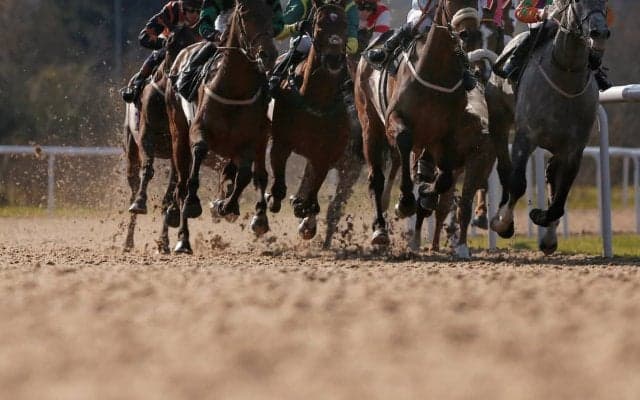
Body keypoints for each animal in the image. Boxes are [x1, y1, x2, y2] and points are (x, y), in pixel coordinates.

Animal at [123, 26, 202, 253]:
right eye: (172, 44)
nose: (180, 76)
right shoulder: (146, 134)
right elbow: (148, 169)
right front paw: (140, 203)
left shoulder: (178, 144)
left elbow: (171, 192)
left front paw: (167, 237)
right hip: (130, 144)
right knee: (133, 183)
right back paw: (128, 240)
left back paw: (164, 240)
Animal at [173, 0, 278, 254]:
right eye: (245, 15)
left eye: (272, 15)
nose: (268, 54)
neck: (233, 90)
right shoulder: (197, 131)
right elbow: (199, 155)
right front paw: (193, 203)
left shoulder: (250, 140)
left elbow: (245, 176)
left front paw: (226, 206)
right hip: (178, 134)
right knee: (180, 185)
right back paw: (183, 240)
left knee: (253, 174)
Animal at [267, 0, 352, 240]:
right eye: (320, 25)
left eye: (344, 25)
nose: (334, 59)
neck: (317, 101)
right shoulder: (281, 143)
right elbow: (277, 188)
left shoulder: (325, 154)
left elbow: (312, 196)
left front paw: (304, 214)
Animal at [356, 0, 482, 247]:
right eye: (449, 2)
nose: (469, 34)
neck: (436, 72)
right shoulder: (395, 120)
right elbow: (404, 142)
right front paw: (405, 202)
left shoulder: (445, 133)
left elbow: (444, 179)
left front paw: (426, 196)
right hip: (369, 124)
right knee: (377, 177)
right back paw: (380, 229)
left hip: (425, 140)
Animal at [490, 0, 610, 254]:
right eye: (577, 3)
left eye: (605, 3)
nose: (599, 33)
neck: (566, 74)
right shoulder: (525, 136)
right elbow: (518, 183)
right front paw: (502, 223)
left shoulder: (574, 148)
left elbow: (560, 198)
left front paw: (540, 218)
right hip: (498, 119)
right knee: (505, 168)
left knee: (551, 176)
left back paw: (548, 236)